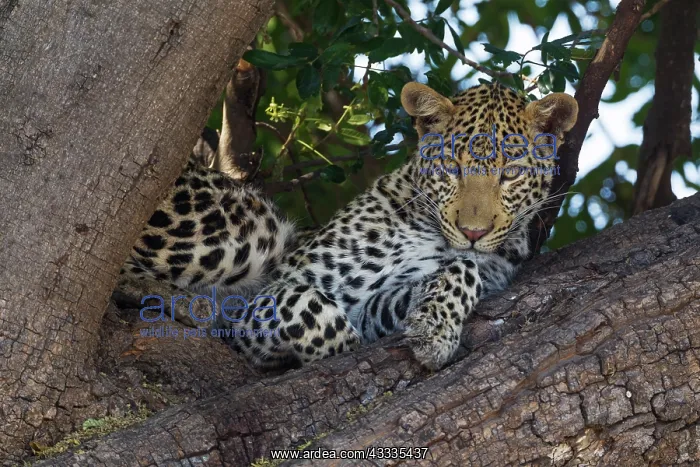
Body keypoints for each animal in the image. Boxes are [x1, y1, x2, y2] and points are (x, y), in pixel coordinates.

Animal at [118, 81, 578, 370]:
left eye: (511, 173)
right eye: (451, 167)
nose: (473, 233)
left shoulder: (374, 307)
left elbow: (459, 272)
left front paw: (433, 328)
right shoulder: (270, 295)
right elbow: (307, 304)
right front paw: (335, 346)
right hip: (249, 229)